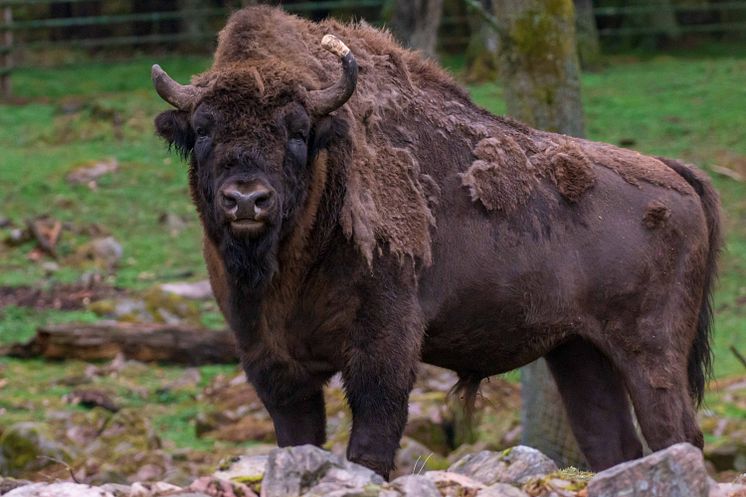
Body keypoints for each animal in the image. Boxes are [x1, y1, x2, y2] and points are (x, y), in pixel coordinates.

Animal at [150, 4, 716, 476]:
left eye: (296, 131)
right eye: (203, 130)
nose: (247, 201)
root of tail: (675, 174)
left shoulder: (384, 345)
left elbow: (371, 441)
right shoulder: (272, 362)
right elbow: (299, 437)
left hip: (651, 352)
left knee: (675, 434)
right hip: (579, 352)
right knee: (611, 442)